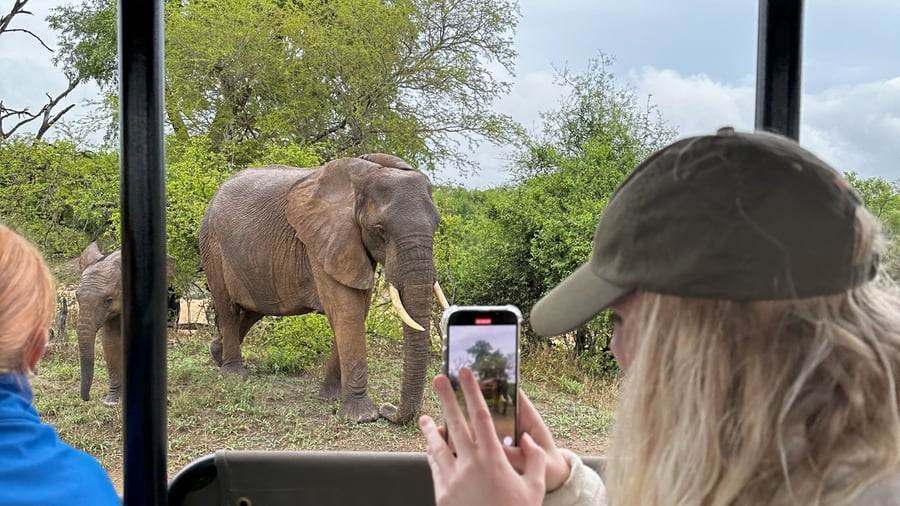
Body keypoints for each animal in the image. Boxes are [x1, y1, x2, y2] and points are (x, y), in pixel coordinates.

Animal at [198, 153, 449, 424]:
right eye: (380, 230)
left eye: (436, 225)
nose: (388, 408)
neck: (364, 176)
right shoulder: (322, 241)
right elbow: (347, 310)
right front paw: (362, 416)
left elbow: (357, 310)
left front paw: (331, 398)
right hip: (212, 242)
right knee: (227, 307)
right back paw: (233, 374)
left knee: (255, 308)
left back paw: (217, 354)